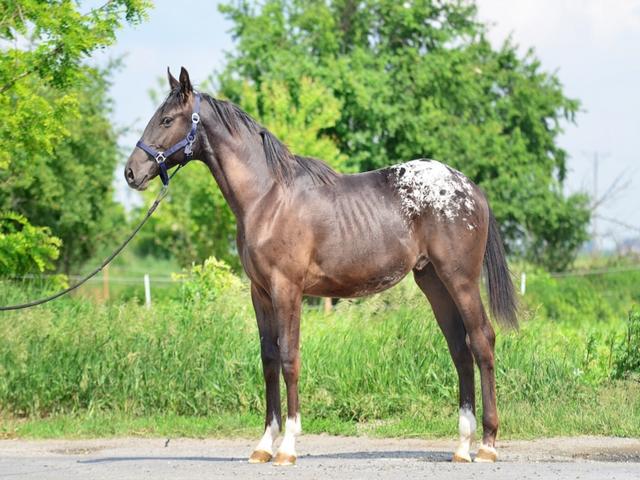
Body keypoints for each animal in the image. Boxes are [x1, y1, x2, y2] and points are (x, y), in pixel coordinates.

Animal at [124, 67, 517, 466]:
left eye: (167, 119)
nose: (130, 172)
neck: (267, 197)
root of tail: (469, 186)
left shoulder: (287, 289)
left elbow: (289, 358)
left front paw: (287, 447)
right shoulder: (260, 292)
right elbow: (268, 360)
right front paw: (264, 445)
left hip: (460, 280)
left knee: (482, 341)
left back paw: (487, 444)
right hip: (433, 281)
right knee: (460, 349)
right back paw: (462, 446)